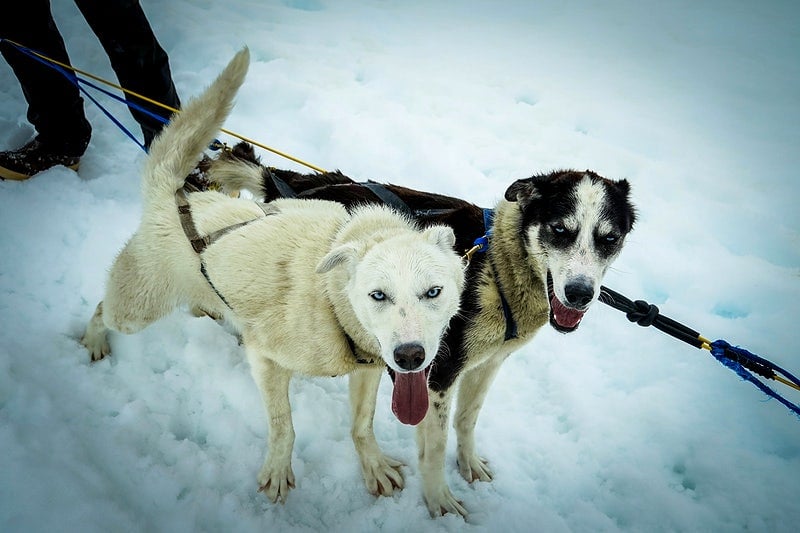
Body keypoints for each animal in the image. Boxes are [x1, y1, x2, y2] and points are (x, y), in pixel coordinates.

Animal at [79, 48, 468, 502]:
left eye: (433, 292)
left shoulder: (369, 369)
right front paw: (279, 471)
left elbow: (362, 423)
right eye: (378, 295)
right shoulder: (266, 359)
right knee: (103, 308)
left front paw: (372, 465)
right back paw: (93, 340)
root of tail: (177, 197)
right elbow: (284, 426)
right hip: (135, 311)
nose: (410, 356)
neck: (332, 300)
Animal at [208, 143, 636, 516]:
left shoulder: (487, 364)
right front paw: (439, 501)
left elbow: (468, 419)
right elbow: (434, 446)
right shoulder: (440, 375)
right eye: (560, 230)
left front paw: (468, 463)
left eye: (609, 238)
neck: (496, 267)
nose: (580, 293)